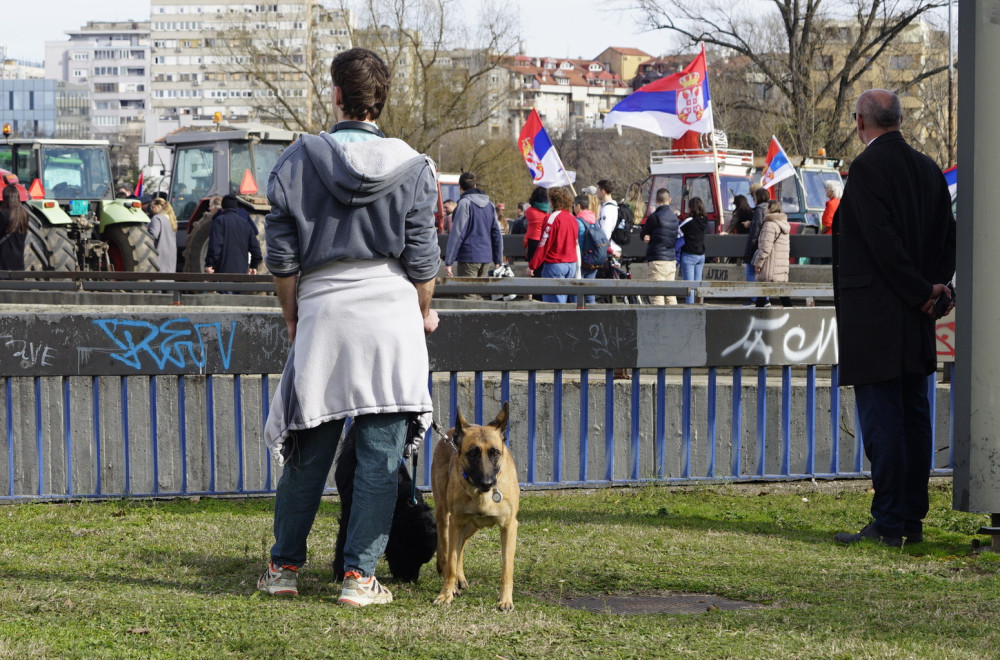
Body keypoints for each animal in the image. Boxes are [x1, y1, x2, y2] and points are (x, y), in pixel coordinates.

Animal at [432, 402, 520, 612]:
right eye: (472, 453)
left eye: (495, 452)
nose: (488, 483)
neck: (481, 495)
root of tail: (449, 433)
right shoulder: (456, 522)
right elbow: (451, 562)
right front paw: (446, 594)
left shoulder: (509, 527)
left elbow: (507, 568)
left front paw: (505, 600)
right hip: (446, 517)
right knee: (446, 549)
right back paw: (450, 577)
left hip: (471, 526)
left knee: (461, 546)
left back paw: (460, 578)